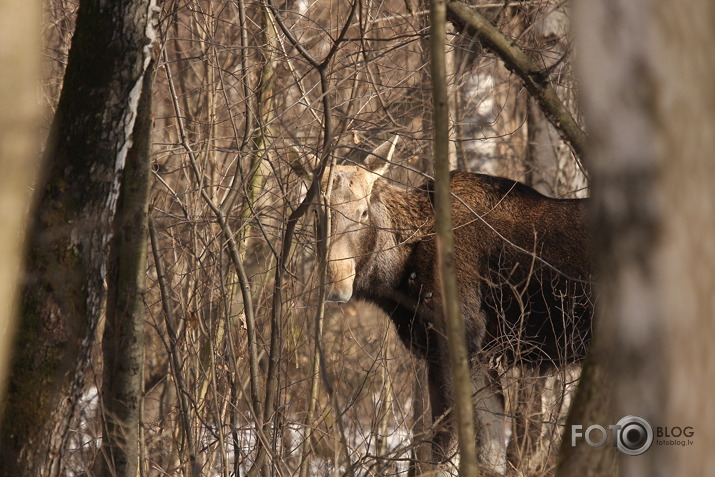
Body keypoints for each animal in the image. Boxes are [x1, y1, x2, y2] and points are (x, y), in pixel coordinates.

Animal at [324, 138, 592, 472]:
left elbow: (440, 453)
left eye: (362, 212)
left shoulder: (456, 342)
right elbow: (490, 452)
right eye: (321, 213)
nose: (337, 285)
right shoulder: (479, 356)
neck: (399, 275)